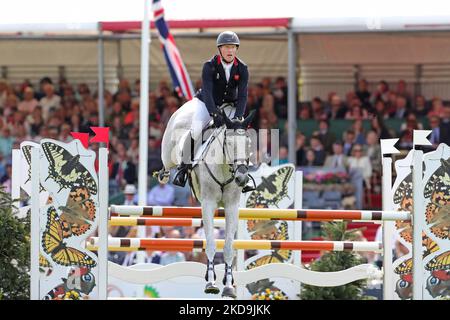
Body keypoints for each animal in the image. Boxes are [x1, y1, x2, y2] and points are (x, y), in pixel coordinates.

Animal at [158, 101, 253, 298]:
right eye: (229, 143)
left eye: (248, 143)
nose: (241, 178)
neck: (224, 167)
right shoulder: (208, 204)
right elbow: (210, 243)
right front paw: (211, 283)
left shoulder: (232, 206)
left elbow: (228, 247)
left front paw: (229, 286)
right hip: (169, 152)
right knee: (166, 164)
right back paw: (165, 175)